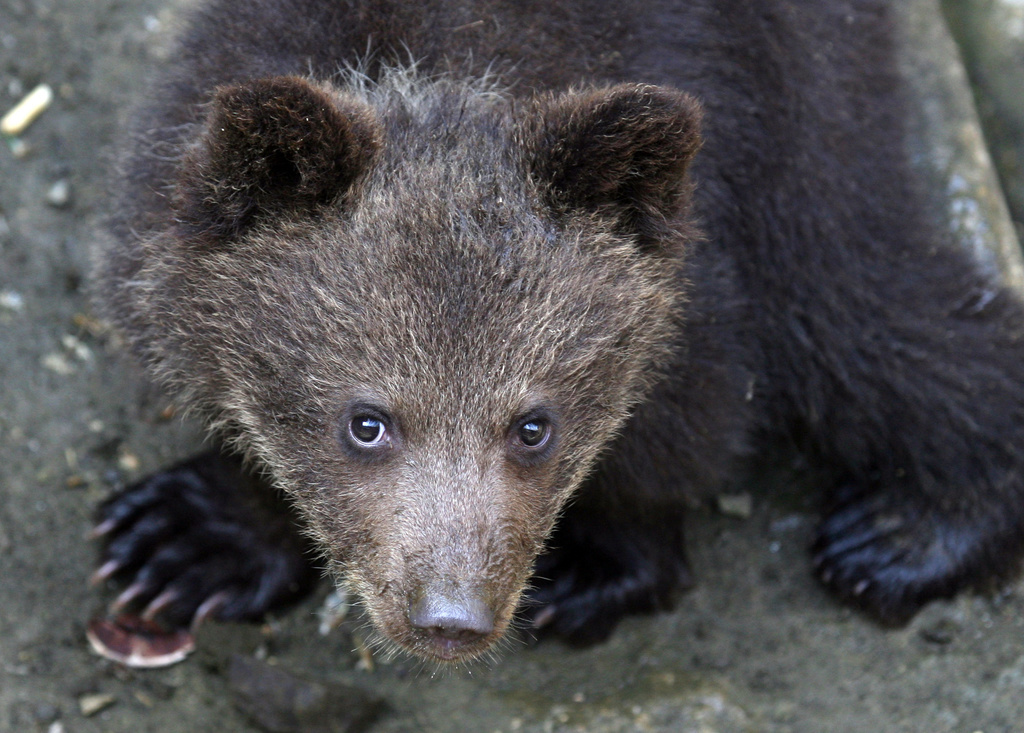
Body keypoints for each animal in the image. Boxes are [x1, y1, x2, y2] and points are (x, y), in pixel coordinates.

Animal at [90, 0, 1024, 663]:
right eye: (366, 421)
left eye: (533, 425)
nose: (451, 618)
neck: (437, 70)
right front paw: (182, 544)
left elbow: (693, 416)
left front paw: (594, 568)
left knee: (856, 303)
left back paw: (903, 531)